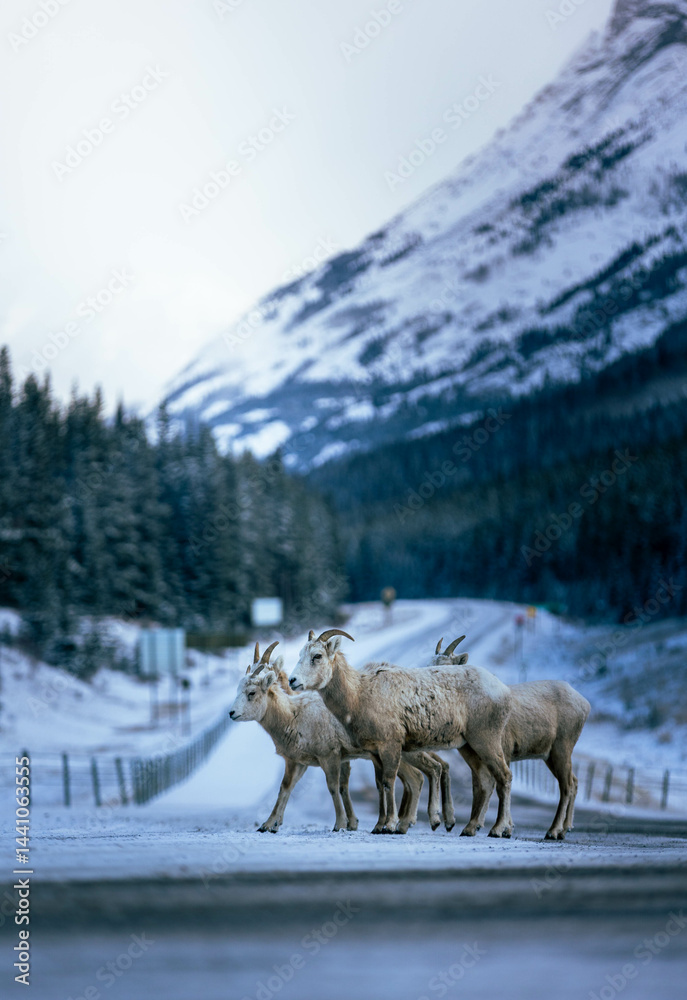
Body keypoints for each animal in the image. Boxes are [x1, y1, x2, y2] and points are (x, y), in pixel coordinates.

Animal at [229, 642, 455, 833]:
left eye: (251, 693)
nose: (231, 713)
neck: (294, 715)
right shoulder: (300, 762)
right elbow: (286, 788)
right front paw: (269, 826)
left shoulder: (330, 756)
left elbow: (334, 787)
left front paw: (340, 825)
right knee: (422, 774)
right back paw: (407, 824)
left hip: (401, 752)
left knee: (425, 773)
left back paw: (424, 822)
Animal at [289, 629, 514, 836]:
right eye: (300, 654)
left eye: (317, 656)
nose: (292, 680)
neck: (359, 694)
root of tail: (503, 690)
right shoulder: (374, 752)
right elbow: (381, 785)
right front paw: (379, 826)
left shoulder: (390, 745)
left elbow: (389, 782)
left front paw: (389, 826)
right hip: (468, 747)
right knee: (485, 780)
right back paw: (468, 829)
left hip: (485, 740)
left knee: (504, 776)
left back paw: (497, 830)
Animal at [431, 636, 591, 840]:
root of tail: (584, 704)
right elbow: (480, 787)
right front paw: (489, 828)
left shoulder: (502, 751)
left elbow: (497, 785)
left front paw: (499, 829)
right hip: (550, 756)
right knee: (574, 782)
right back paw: (565, 829)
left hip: (561, 748)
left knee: (567, 786)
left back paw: (553, 831)